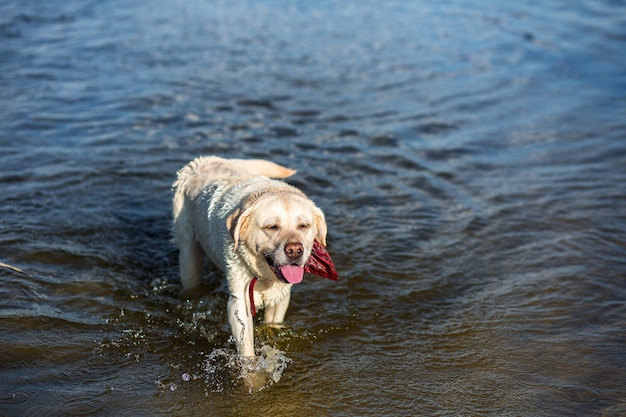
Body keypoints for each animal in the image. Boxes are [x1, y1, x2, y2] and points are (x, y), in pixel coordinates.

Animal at [171, 156, 336, 358]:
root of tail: (205, 160)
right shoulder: (240, 303)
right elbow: (246, 347)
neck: (265, 275)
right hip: (188, 252)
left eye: (303, 225)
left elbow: (273, 325)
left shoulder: (281, 295)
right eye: (272, 227)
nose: (295, 250)